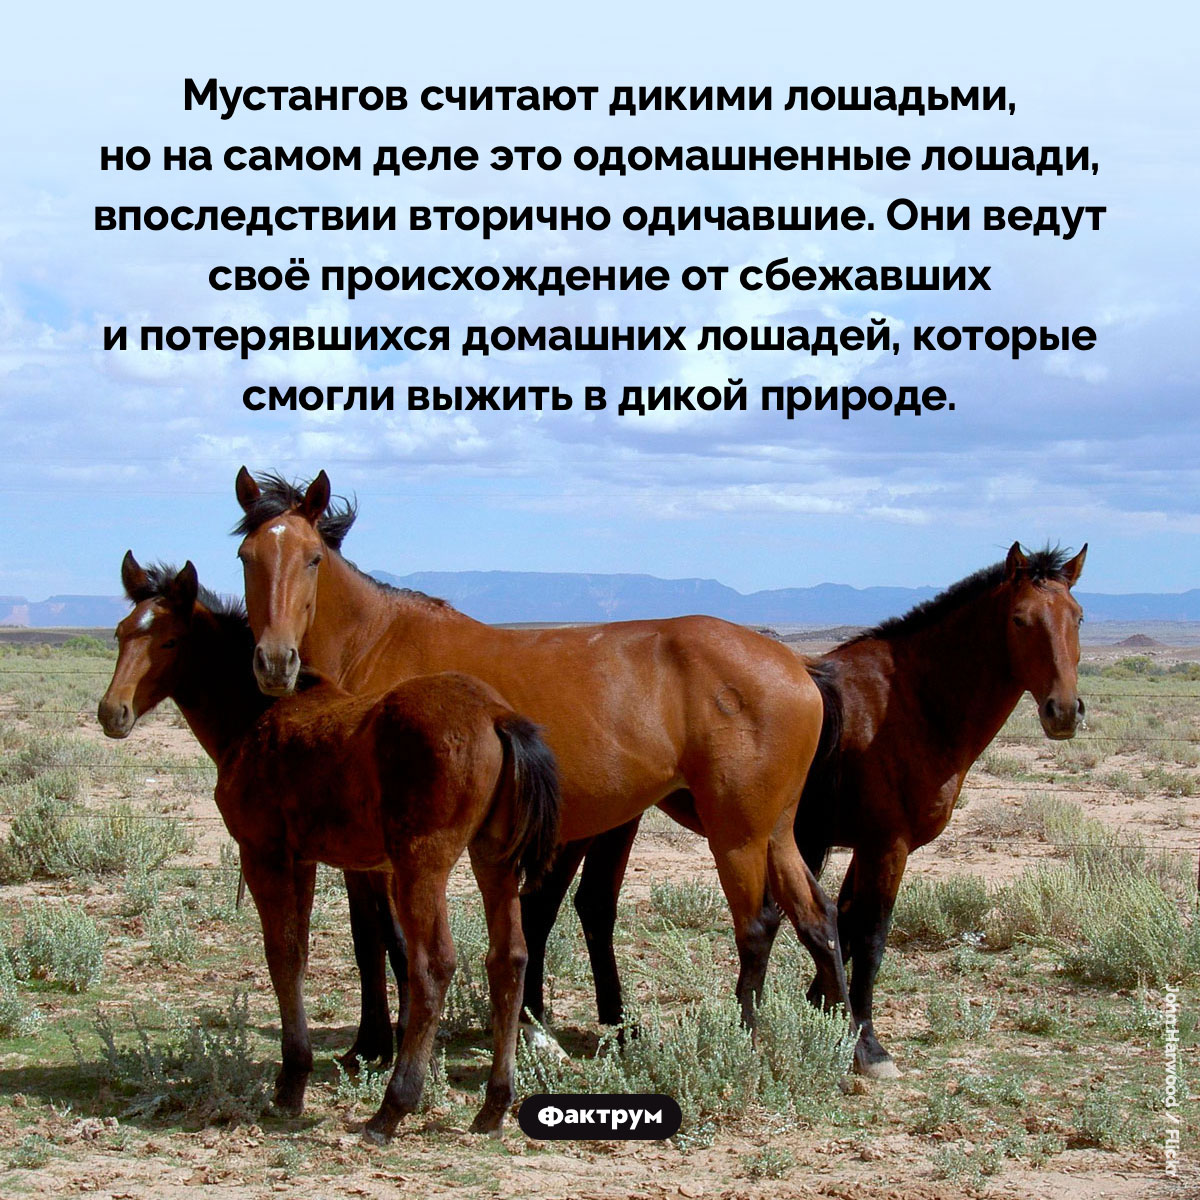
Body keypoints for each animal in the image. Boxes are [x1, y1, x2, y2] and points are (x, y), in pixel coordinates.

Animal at [97, 555, 560, 1139]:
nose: (112, 712)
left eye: (170, 641)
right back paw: (494, 1106)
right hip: (493, 859)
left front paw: (290, 1085)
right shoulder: (306, 860)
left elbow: (282, 954)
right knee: (509, 959)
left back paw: (392, 1108)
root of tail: (496, 715)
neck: (256, 718)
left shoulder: (263, 853)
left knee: (433, 965)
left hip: (422, 863)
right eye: (120, 633)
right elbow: (298, 952)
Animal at [232, 468, 870, 1073]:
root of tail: (799, 665)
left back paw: (745, 1041)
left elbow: (385, 940)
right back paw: (858, 1048)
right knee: (817, 917)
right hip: (775, 830)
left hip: (737, 833)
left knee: (757, 925)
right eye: (247, 557)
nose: (273, 663)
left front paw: (386, 1047)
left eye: (313, 558)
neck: (379, 648)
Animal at [535, 542, 1089, 1077]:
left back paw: (616, 1029)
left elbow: (840, 925)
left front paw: (826, 1009)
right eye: (1020, 619)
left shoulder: (859, 847)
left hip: (618, 820)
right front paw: (866, 1041)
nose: (1063, 711)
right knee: (548, 905)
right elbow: (869, 934)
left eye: (1078, 616)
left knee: (591, 905)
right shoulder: (887, 846)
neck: (908, 702)